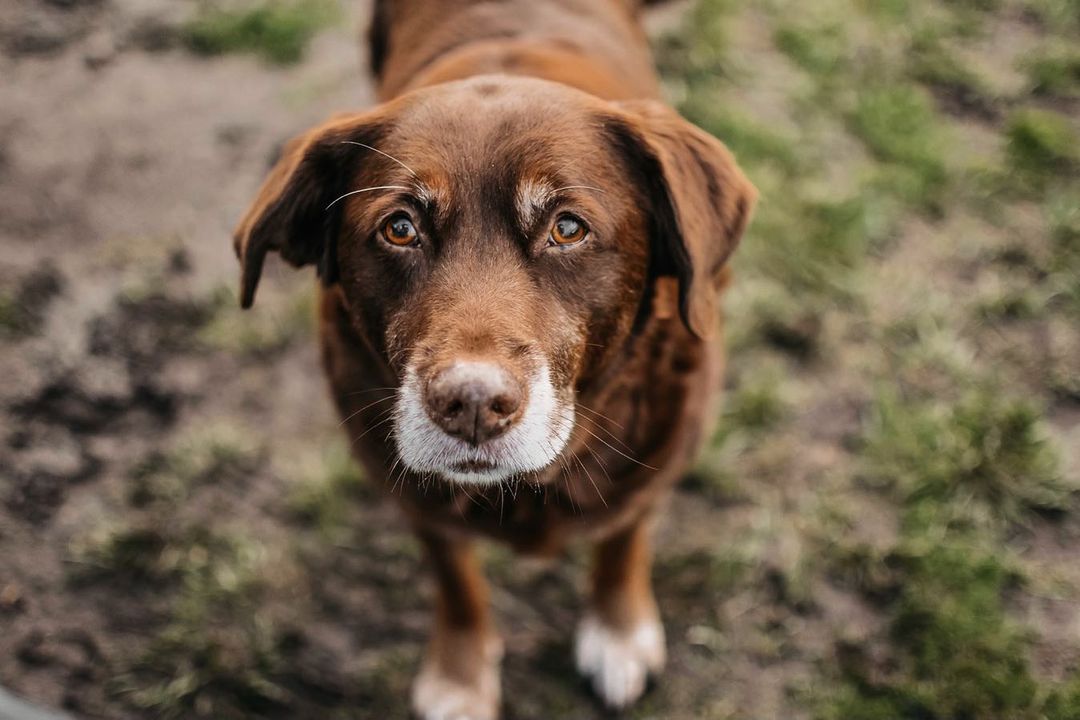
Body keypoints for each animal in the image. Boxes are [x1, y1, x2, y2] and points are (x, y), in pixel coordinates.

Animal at [232, 1, 756, 716]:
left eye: (568, 228)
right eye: (400, 228)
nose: (472, 405)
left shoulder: (658, 456)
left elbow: (622, 538)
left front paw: (618, 631)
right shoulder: (413, 495)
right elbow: (456, 580)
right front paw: (459, 677)